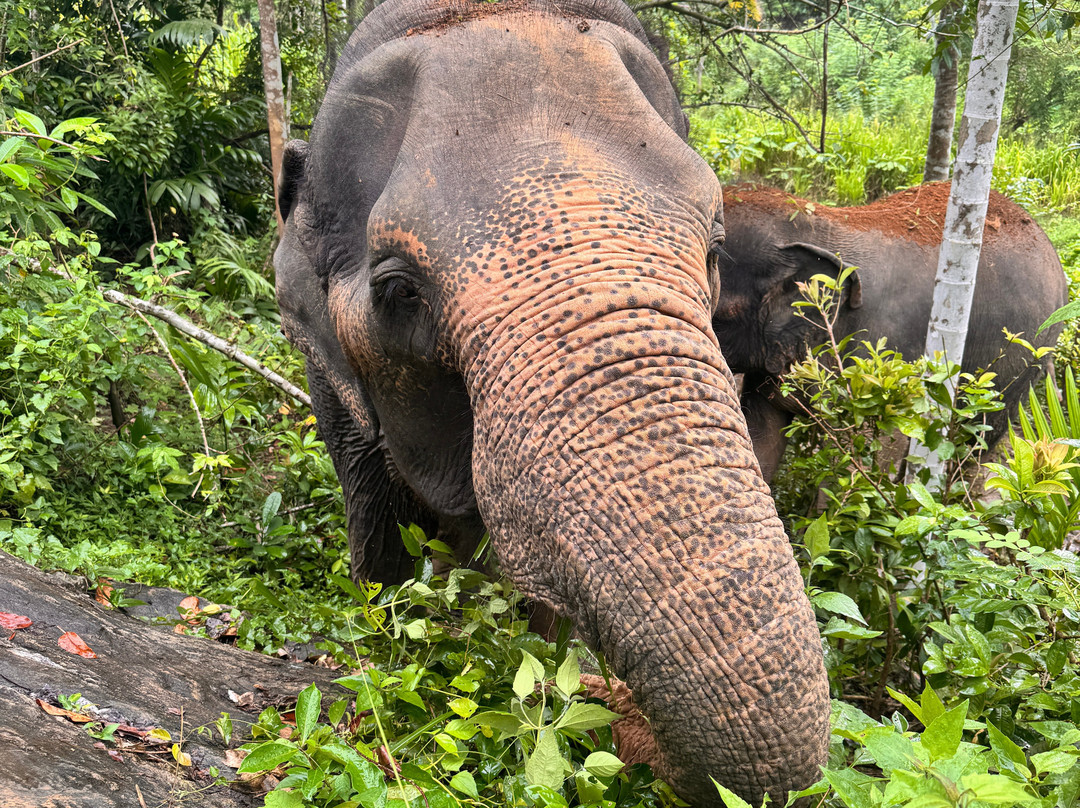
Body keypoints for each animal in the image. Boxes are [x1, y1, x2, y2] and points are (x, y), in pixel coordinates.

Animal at [272, 0, 830, 804]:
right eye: (398, 292)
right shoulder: (335, 383)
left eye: (713, 253)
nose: (605, 699)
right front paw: (397, 644)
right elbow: (381, 530)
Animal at [711, 182, 1069, 482]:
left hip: (1021, 361)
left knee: (975, 441)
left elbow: (874, 452)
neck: (817, 222)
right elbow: (762, 438)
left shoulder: (886, 358)